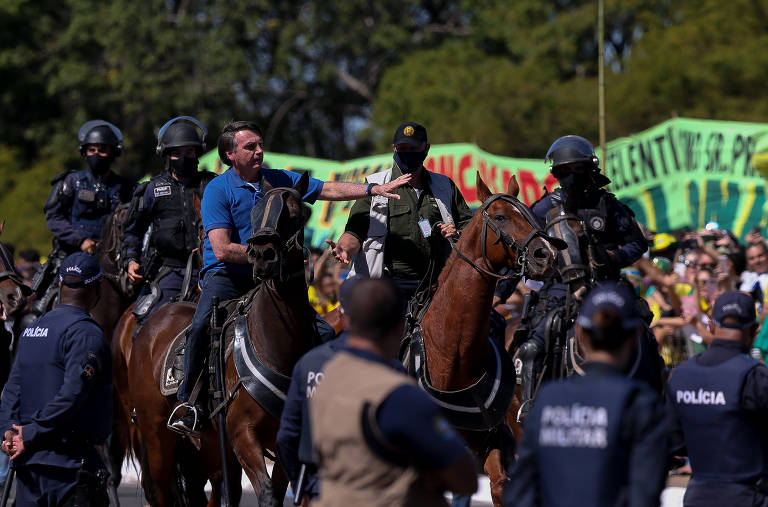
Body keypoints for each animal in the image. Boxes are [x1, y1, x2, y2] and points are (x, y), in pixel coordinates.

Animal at [124, 174, 315, 506]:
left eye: (295, 214)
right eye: (254, 213)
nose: (263, 255)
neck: (277, 341)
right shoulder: (243, 435)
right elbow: (266, 494)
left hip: (207, 446)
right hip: (156, 434)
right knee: (159, 492)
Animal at [414, 173, 562, 506]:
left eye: (532, 217)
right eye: (500, 217)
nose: (546, 255)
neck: (452, 354)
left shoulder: (492, 443)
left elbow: (500, 486)